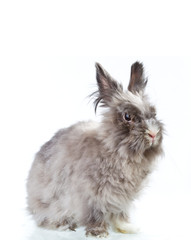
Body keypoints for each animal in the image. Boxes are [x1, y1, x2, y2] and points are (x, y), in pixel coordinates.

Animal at [26, 61, 164, 237]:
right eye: (127, 117)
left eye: (154, 113)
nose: (153, 134)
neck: (114, 149)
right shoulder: (90, 197)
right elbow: (95, 214)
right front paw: (99, 233)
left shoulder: (121, 199)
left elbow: (120, 213)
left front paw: (127, 228)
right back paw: (63, 225)